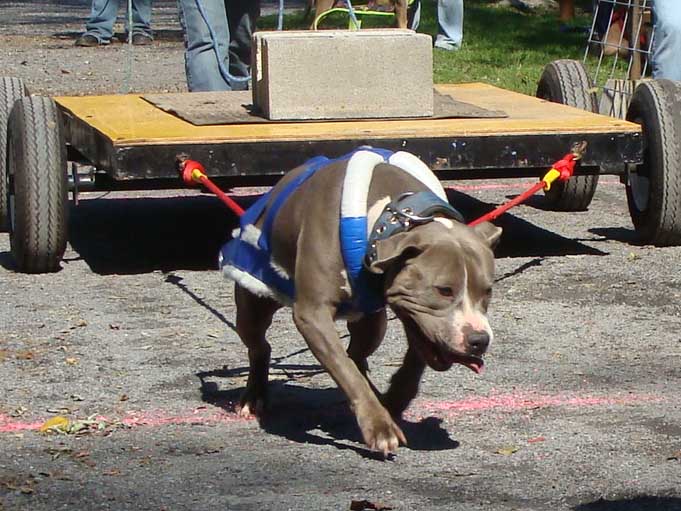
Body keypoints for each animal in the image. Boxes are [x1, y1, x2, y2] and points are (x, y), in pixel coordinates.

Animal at [220, 149, 502, 456]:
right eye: (444, 290)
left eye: (487, 291)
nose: (479, 340)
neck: (386, 219)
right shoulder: (313, 315)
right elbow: (345, 371)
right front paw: (379, 427)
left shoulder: (415, 318)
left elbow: (414, 359)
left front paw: (394, 399)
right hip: (254, 296)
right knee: (261, 346)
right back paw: (253, 397)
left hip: (372, 322)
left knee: (356, 354)